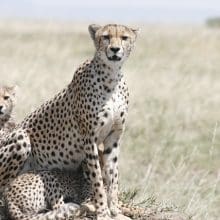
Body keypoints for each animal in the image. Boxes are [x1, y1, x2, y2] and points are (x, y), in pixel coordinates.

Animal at [0, 24, 138, 220]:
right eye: (106, 37)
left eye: (124, 38)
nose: (115, 49)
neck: (111, 76)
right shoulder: (89, 139)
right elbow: (97, 179)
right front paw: (103, 212)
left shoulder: (113, 137)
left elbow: (113, 177)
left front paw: (115, 211)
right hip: (21, 138)